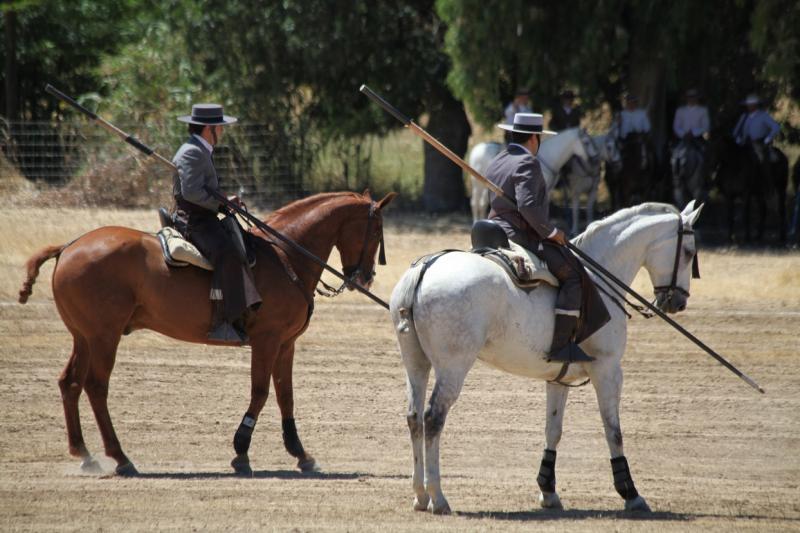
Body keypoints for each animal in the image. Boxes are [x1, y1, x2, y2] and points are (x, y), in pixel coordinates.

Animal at [17, 190, 396, 474]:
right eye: (377, 231)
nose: (365, 278)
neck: (286, 255)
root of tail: (68, 246)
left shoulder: (285, 344)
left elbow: (285, 395)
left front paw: (302, 455)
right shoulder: (268, 340)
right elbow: (260, 392)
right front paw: (241, 452)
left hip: (83, 337)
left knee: (70, 383)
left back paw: (84, 454)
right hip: (103, 337)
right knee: (96, 387)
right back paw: (120, 458)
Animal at [390, 201, 704, 516]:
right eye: (689, 252)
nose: (678, 302)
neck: (599, 277)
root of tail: (425, 270)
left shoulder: (558, 378)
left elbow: (553, 430)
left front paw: (548, 491)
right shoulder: (608, 370)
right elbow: (613, 431)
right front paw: (631, 494)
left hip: (416, 364)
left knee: (414, 418)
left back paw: (420, 496)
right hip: (453, 366)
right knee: (433, 418)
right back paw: (438, 497)